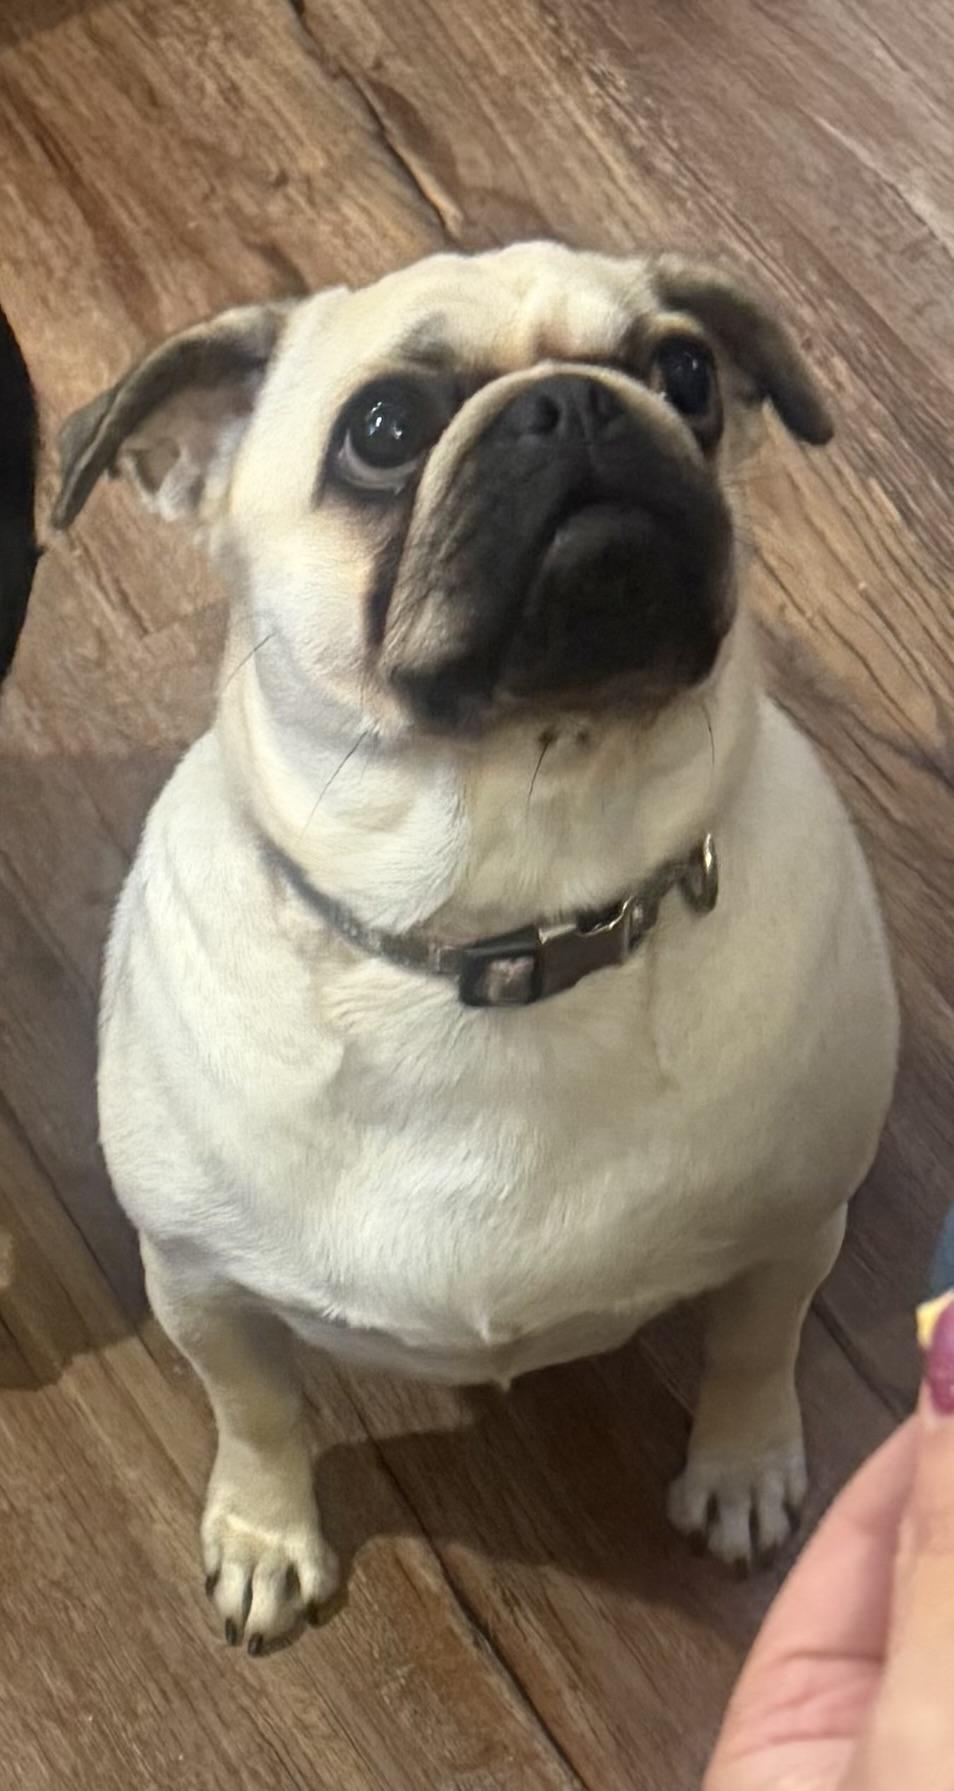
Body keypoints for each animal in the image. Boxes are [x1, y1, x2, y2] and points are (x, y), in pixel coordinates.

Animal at [54, 243, 898, 1653]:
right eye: (384, 431)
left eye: (686, 372)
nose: (577, 403)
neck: (512, 917)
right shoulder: (200, 1287)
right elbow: (257, 1412)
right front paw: (266, 1532)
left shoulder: (795, 1232)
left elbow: (754, 1351)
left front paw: (740, 1470)